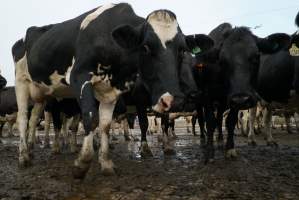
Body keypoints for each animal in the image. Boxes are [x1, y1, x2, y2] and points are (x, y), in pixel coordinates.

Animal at [13, 3, 197, 178]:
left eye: (182, 50)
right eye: (145, 47)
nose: (174, 100)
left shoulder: (111, 91)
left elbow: (105, 125)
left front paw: (106, 164)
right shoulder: (79, 76)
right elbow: (91, 118)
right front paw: (82, 163)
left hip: (41, 94)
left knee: (33, 120)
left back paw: (31, 149)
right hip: (21, 82)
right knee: (23, 119)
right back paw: (24, 157)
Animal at [188, 23, 290, 162]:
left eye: (256, 56)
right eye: (222, 61)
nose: (242, 99)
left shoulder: (233, 100)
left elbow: (230, 121)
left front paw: (230, 149)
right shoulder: (208, 95)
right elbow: (209, 121)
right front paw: (209, 152)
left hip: (223, 102)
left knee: (219, 118)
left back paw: (220, 140)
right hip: (200, 100)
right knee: (201, 119)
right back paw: (203, 141)